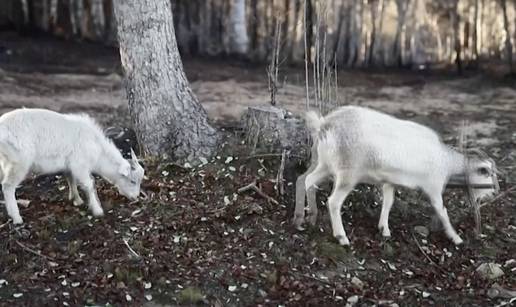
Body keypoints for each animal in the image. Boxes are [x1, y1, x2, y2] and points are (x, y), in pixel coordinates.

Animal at [0, 109, 145, 225]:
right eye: (132, 181)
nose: (136, 197)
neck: (97, 149)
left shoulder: (70, 165)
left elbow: (71, 178)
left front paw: (76, 199)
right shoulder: (79, 164)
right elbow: (89, 184)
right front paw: (97, 210)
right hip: (19, 162)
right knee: (7, 186)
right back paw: (17, 218)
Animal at [294, 107, 500, 247]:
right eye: (487, 173)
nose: (494, 193)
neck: (446, 160)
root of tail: (324, 124)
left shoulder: (389, 182)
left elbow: (388, 202)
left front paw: (384, 229)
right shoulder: (433, 186)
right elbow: (442, 211)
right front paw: (456, 238)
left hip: (324, 163)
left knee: (307, 181)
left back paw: (307, 218)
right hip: (348, 171)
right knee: (334, 202)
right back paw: (341, 237)